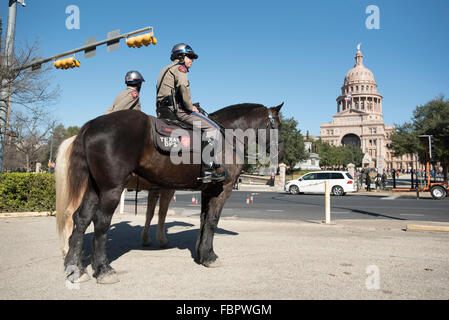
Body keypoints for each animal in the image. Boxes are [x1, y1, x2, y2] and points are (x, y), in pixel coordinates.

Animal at [54, 102, 282, 282]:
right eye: (278, 126)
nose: (280, 154)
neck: (228, 136)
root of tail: (92, 124)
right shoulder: (221, 189)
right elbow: (212, 221)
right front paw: (210, 256)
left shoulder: (206, 190)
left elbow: (202, 220)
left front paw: (201, 254)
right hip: (111, 188)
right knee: (100, 222)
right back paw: (103, 269)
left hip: (94, 188)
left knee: (81, 218)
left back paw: (75, 266)